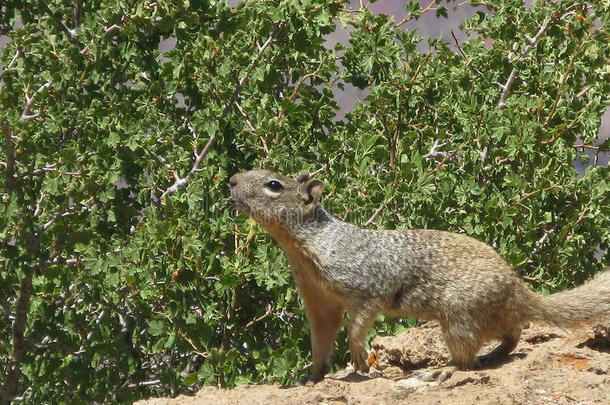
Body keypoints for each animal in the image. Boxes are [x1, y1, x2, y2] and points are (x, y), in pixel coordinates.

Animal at [227, 168, 608, 382]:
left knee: (468, 358)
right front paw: (311, 377)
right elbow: (321, 338)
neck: (305, 247)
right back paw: (495, 353)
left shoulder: (366, 285)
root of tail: (519, 288)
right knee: (513, 334)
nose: (230, 180)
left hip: (458, 317)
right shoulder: (318, 300)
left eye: (273, 184)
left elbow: (357, 323)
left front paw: (358, 356)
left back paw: (444, 369)